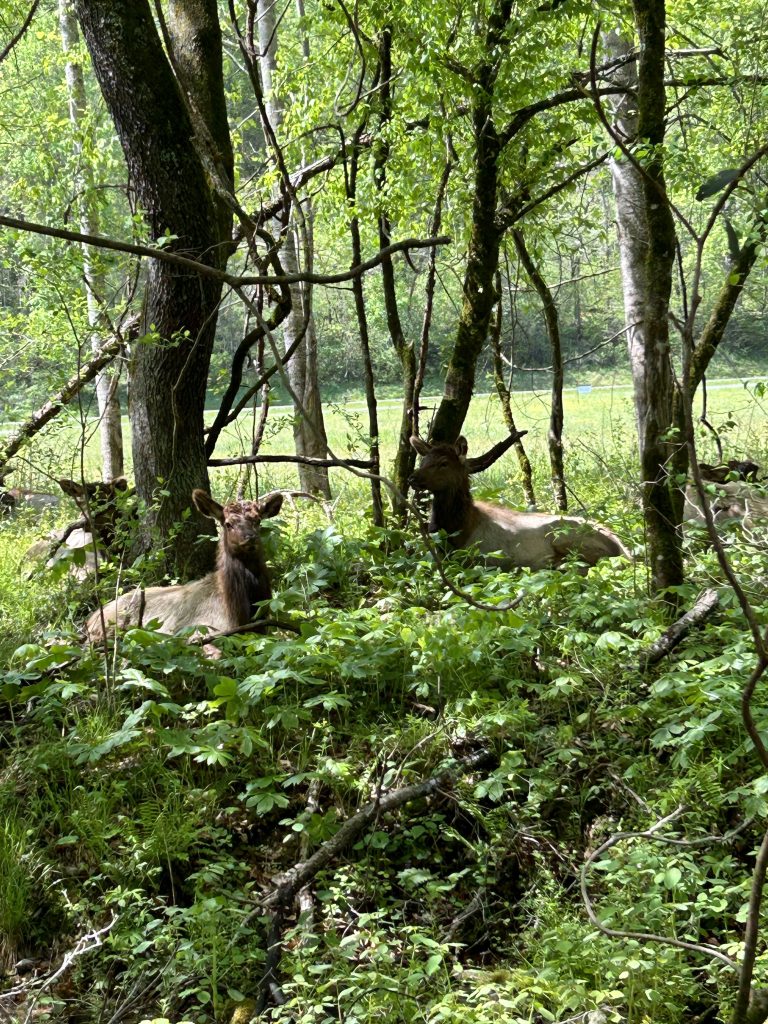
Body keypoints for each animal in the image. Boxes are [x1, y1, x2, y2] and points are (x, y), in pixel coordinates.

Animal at [409, 435, 629, 570]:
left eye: (444, 463)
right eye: (423, 460)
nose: (412, 477)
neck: (458, 528)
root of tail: (623, 548)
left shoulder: (486, 559)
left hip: (565, 538)